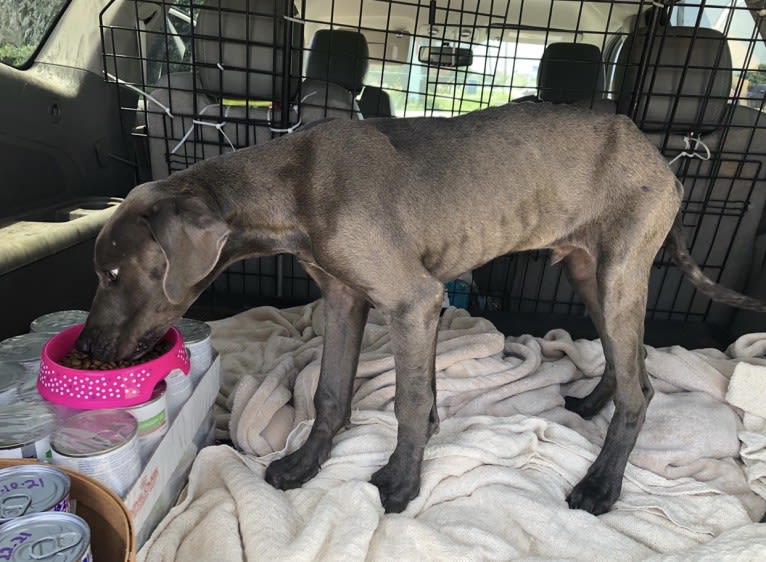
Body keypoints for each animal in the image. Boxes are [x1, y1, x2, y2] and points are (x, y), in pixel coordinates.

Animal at [78, 103, 766, 516]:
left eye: (112, 274)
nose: (86, 350)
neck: (293, 184)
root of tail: (663, 162)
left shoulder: (412, 301)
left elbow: (409, 401)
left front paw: (402, 481)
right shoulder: (345, 298)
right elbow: (331, 390)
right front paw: (304, 463)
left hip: (620, 272)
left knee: (641, 390)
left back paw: (601, 484)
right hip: (590, 272)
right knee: (632, 365)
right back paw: (593, 402)